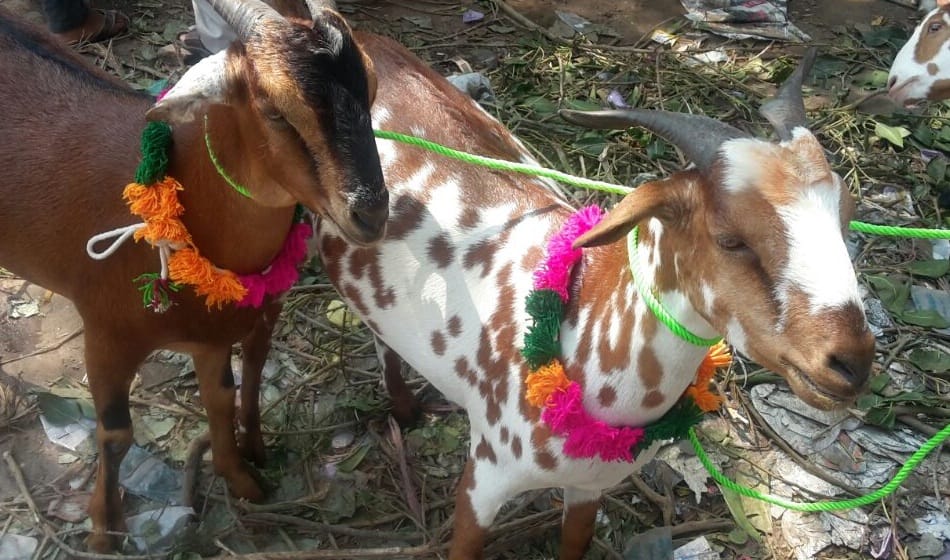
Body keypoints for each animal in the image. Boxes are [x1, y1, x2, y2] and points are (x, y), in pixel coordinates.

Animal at [0, 0, 385, 551]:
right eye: (274, 110)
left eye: (370, 85)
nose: (372, 214)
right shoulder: (105, 334)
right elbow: (115, 435)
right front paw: (104, 530)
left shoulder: (214, 336)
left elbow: (221, 397)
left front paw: (241, 479)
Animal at [312, 39, 876, 558]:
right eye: (731, 239)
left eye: (847, 216)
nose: (850, 363)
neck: (578, 329)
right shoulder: (484, 478)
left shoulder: (589, 487)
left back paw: (405, 411)